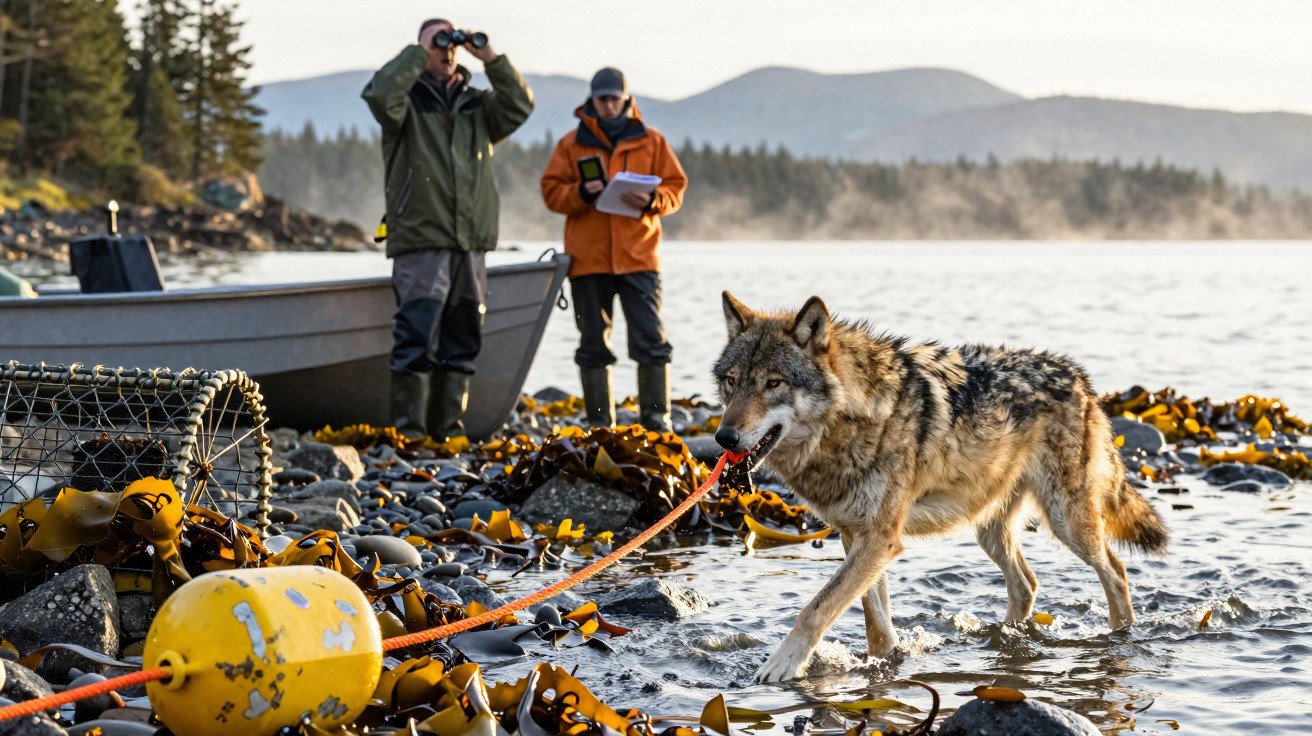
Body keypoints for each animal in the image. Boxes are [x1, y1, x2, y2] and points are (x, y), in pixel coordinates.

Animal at [711, 292, 1168, 683]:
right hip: (990, 531)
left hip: (1066, 522)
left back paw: (1119, 636)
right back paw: (1006, 637)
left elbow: (815, 609)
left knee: (1116, 572)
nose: (724, 437)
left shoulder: (880, 539)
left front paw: (781, 665)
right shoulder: (857, 536)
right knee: (1027, 584)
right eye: (732, 381)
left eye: (773, 383)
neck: (855, 419)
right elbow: (876, 625)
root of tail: (1079, 377)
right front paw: (884, 665)